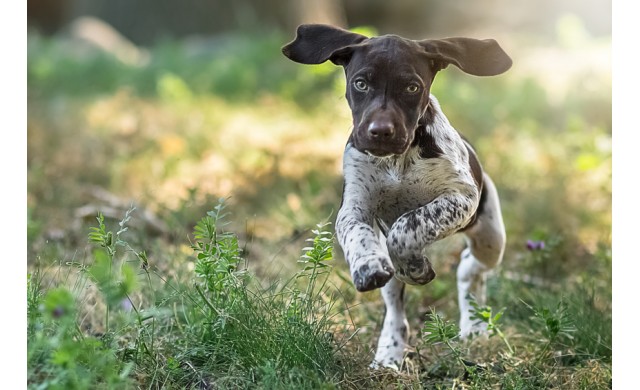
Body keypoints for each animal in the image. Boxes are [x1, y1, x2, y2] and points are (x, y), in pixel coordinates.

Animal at [282, 23, 512, 368]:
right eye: (361, 83)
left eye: (412, 87)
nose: (380, 132)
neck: (396, 161)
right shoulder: (354, 207)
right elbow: (359, 235)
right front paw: (368, 265)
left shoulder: (461, 197)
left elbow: (408, 225)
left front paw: (414, 267)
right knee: (395, 309)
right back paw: (388, 353)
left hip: (490, 237)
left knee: (469, 270)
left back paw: (474, 324)